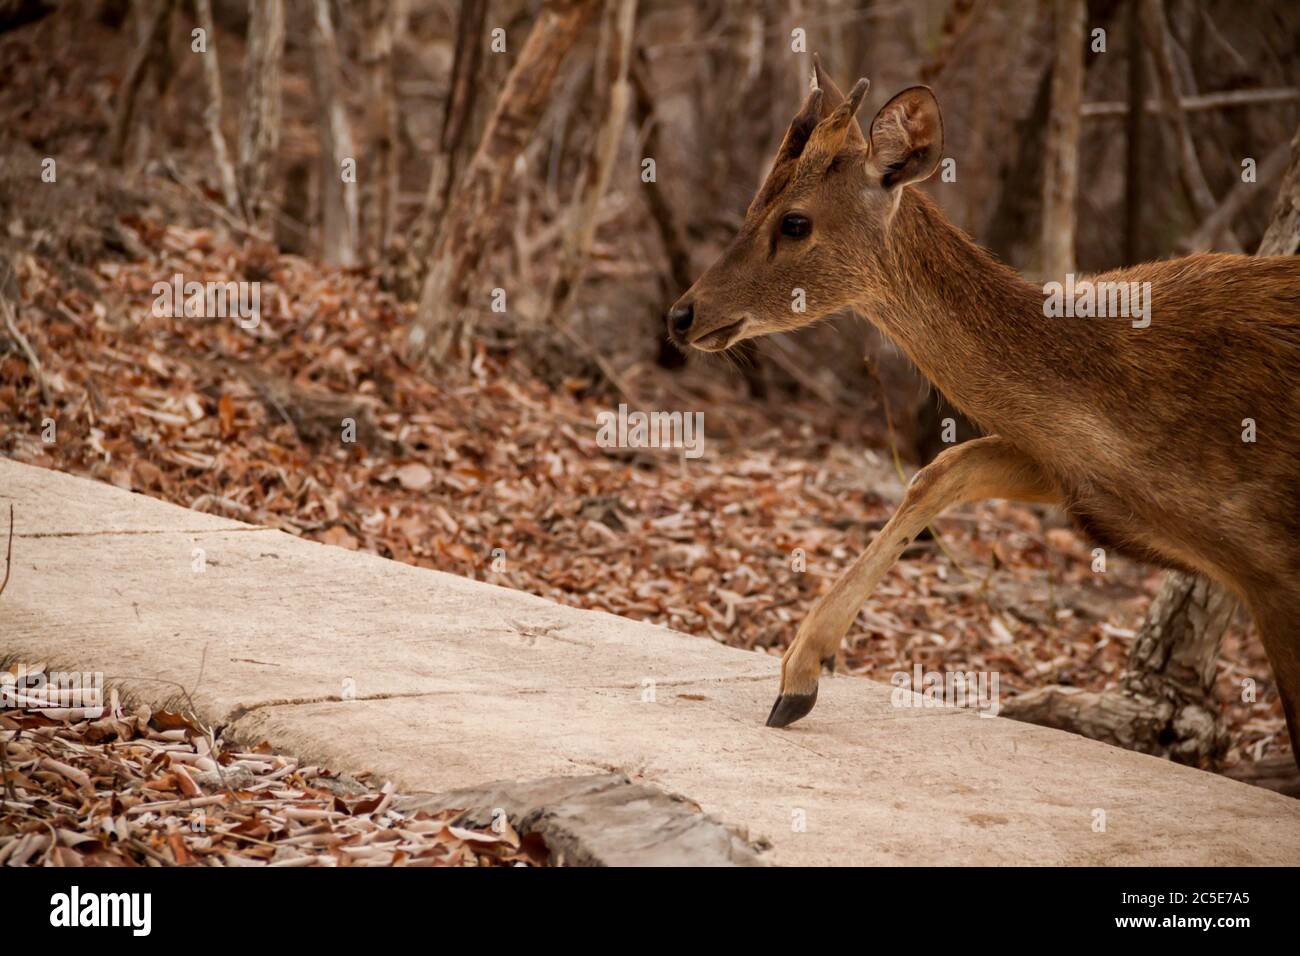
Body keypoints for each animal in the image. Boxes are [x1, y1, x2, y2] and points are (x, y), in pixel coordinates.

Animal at [670, 57, 1300, 770]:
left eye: (795, 222)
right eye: (755, 203)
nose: (682, 315)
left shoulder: (1277, 569)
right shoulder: (1071, 470)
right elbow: (944, 467)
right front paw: (797, 681)